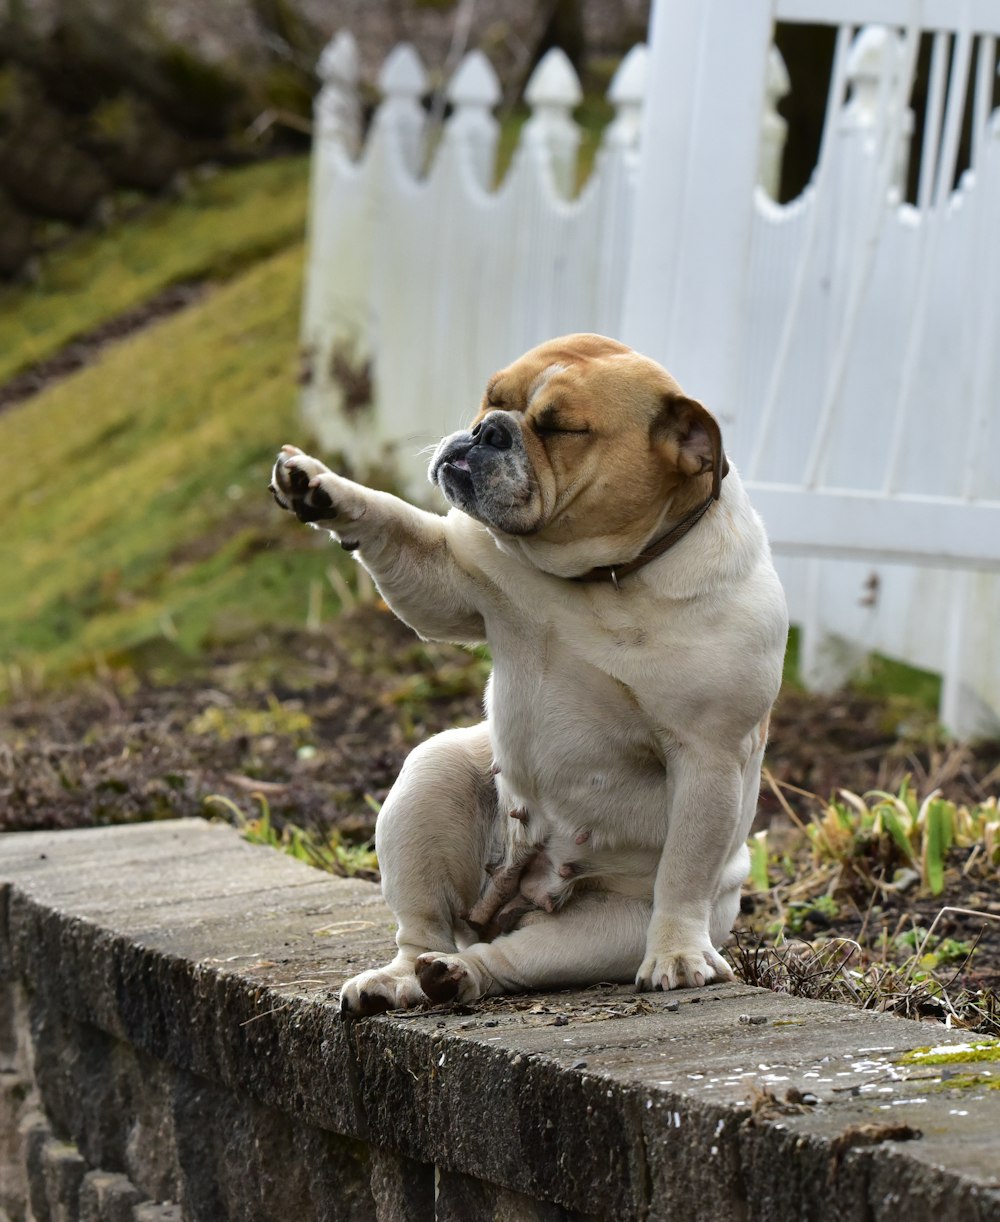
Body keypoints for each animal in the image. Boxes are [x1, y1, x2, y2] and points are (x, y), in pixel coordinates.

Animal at [268, 332, 782, 1011]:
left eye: (562, 428)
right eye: (492, 398)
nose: (487, 431)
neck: (607, 578)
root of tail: (508, 905)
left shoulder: (709, 756)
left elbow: (687, 868)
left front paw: (678, 954)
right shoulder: (453, 574)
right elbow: (395, 525)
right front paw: (322, 486)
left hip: (607, 929)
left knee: (517, 957)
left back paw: (458, 975)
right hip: (431, 780)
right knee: (424, 926)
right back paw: (404, 978)